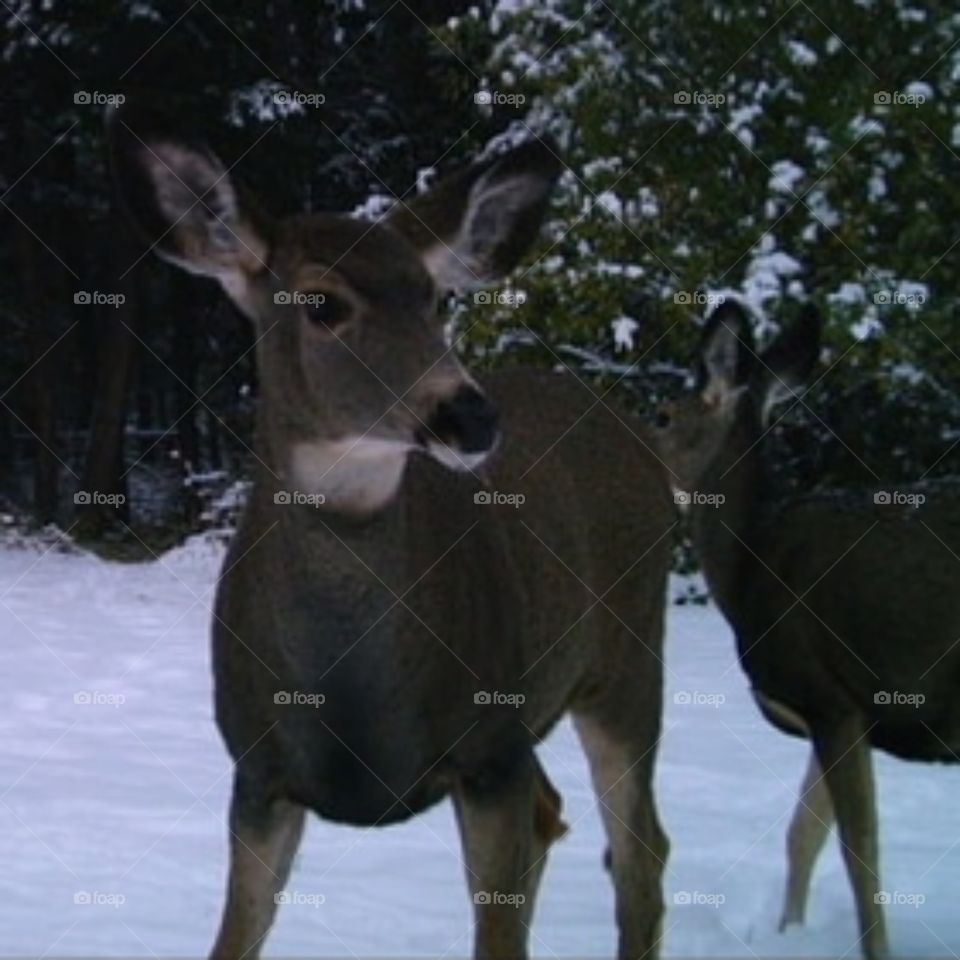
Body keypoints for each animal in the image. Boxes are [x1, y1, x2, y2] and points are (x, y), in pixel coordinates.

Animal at [108, 106, 674, 960]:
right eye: (321, 302)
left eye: (438, 299)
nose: (469, 415)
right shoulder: (258, 772)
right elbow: (233, 938)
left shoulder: (489, 751)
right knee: (564, 818)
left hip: (626, 660)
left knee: (640, 853)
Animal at [652, 298, 960, 959]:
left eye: (662, 415)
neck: (750, 565)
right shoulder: (842, 708)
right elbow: (804, 834)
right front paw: (786, 933)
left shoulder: (830, 694)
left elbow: (858, 851)